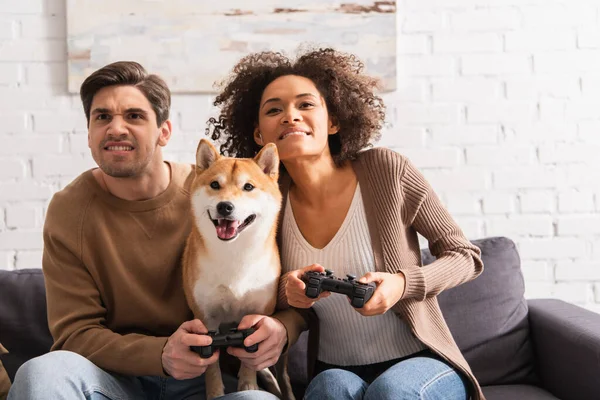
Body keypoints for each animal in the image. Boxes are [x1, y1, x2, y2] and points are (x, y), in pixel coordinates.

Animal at [183, 139, 284, 398]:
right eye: (214, 185)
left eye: (248, 186)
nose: (225, 206)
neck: (235, 255)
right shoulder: (206, 318)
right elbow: (211, 366)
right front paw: (216, 393)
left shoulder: (257, 314)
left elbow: (250, 358)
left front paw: (248, 385)